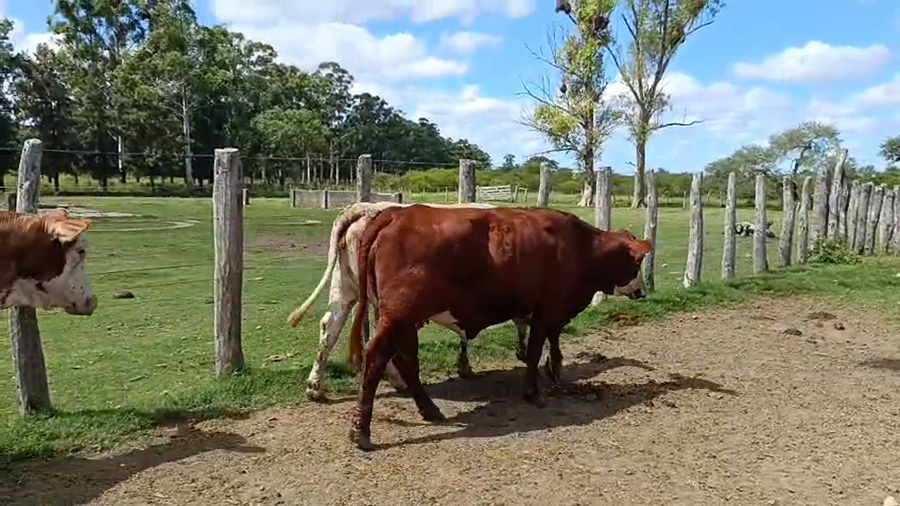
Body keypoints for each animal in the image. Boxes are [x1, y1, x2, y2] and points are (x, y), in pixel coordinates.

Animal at [345, 204, 651, 450]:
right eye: (636, 262)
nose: (642, 292)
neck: (579, 247)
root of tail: (398, 212)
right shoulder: (546, 311)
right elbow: (535, 351)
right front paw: (533, 393)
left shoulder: (549, 312)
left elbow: (553, 346)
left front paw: (556, 375)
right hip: (399, 314)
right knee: (377, 357)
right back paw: (361, 430)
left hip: (407, 319)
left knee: (407, 360)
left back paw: (429, 410)